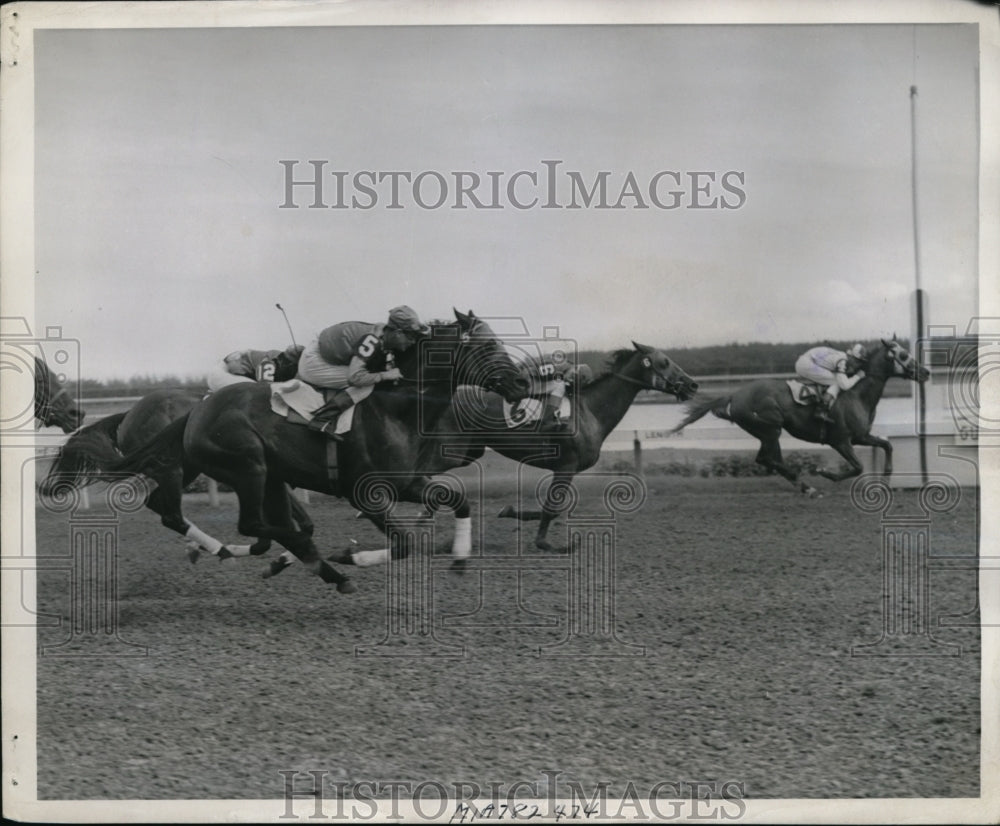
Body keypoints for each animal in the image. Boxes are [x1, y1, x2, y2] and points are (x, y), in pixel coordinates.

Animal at [38, 388, 308, 560]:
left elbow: (300, 523)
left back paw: (200, 545)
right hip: (172, 468)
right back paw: (217, 549)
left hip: (184, 469)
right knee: (170, 515)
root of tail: (128, 414)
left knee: (156, 503)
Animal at [107, 306, 532, 588]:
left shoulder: (407, 482)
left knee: (249, 523)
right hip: (244, 466)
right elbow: (405, 544)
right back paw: (304, 560)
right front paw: (347, 555)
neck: (397, 407)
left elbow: (459, 501)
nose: (522, 384)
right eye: (487, 346)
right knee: (241, 522)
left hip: (263, 475)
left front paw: (460, 559)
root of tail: (197, 410)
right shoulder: (365, 491)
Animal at [414, 342, 696, 548]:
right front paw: (546, 543)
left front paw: (509, 510)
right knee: (420, 473)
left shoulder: (565, 469)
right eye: (664, 362)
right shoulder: (566, 466)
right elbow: (551, 509)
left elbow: (549, 509)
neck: (590, 411)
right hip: (451, 451)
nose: (693, 384)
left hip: (468, 451)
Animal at [672, 336, 928, 496]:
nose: (925, 372)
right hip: (770, 428)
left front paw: (886, 478)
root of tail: (734, 394)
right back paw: (808, 487)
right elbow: (857, 467)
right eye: (903, 355)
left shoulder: (861, 436)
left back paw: (803, 485)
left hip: (767, 432)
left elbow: (887, 445)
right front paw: (824, 472)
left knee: (766, 459)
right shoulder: (840, 440)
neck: (857, 394)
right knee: (770, 459)